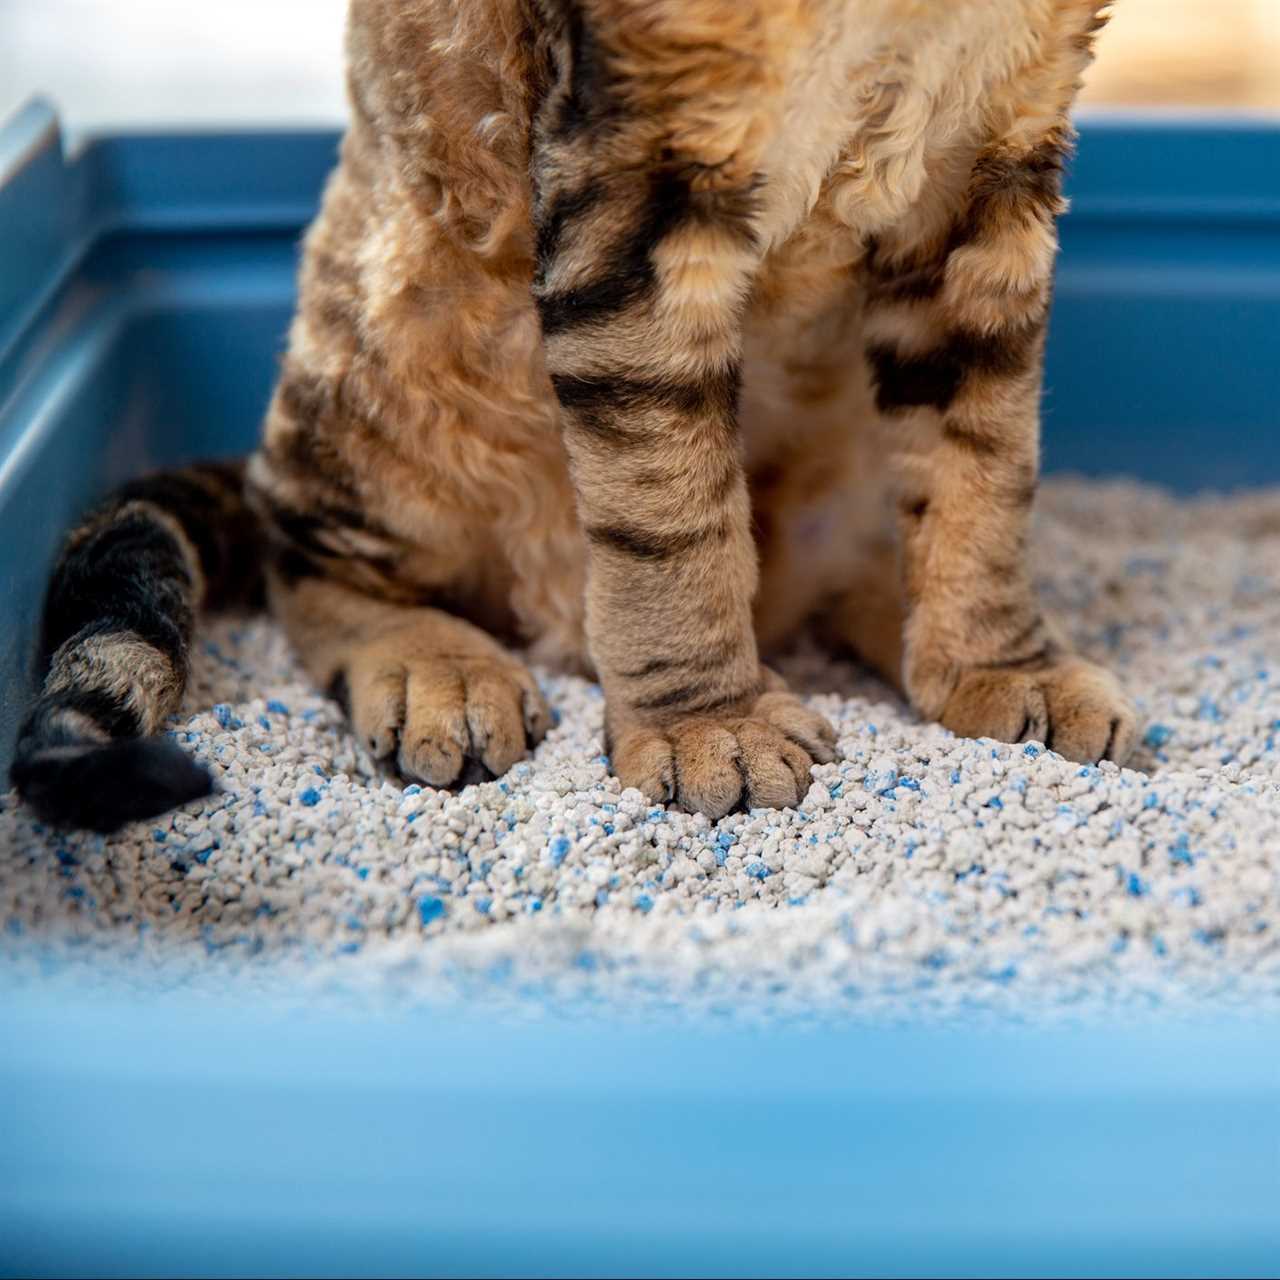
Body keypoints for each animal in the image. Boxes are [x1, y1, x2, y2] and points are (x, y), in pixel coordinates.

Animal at [10, 0, 1136, 834]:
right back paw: (438, 667)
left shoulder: (990, 166)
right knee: (310, 559)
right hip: (389, 361)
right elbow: (667, 511)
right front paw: (707, 726)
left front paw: (999, 668)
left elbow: (983, 464)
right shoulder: (638, 177)